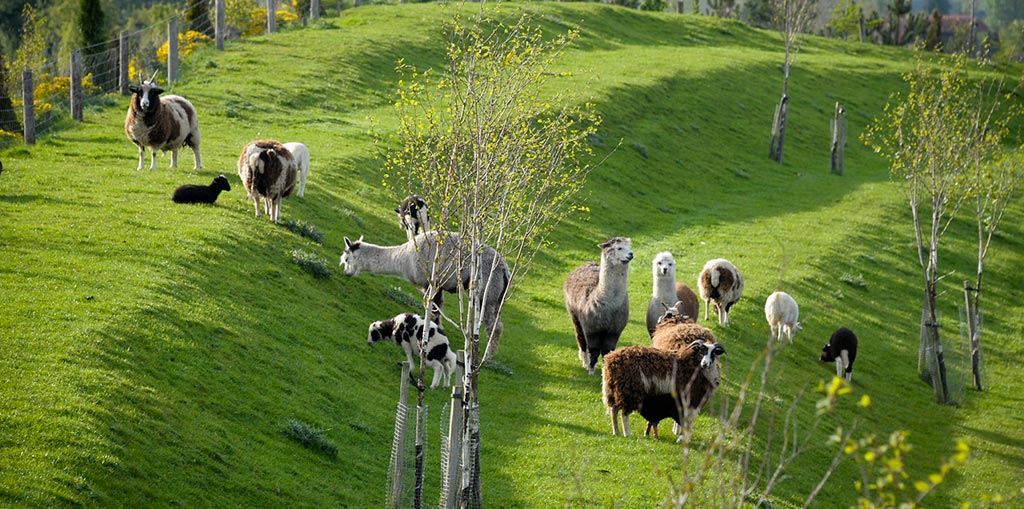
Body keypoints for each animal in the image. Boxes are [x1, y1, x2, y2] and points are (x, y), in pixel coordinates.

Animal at [341, 231, 509, 362]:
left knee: (495, 326)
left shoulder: (429, 282)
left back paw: (487, 357)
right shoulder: (437, 285)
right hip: (497, 297)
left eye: (346, 259)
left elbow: (432, 308)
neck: (404, 258)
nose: (346, 273)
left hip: (487, 293)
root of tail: (504, 269)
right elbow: (437, 308)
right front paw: (438, 328)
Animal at [563, 237, 634, 375]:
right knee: (581, 338)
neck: (610, 306)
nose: (631, 254)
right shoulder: (591, 328)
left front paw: (606, 369)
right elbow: (594, 349)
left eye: (630, 247)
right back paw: (584, 361)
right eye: (619, 248)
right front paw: (591, 370)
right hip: (574, 313)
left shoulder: (615, 329)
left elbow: (608, 350)